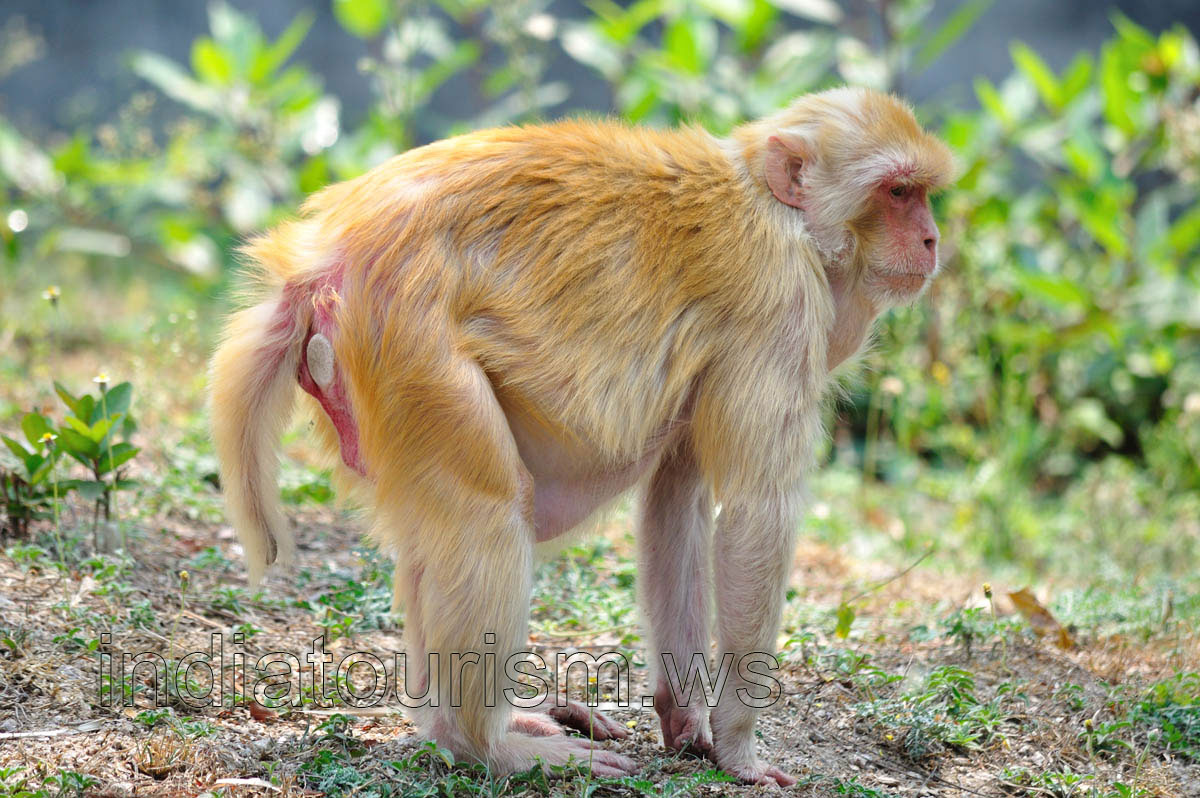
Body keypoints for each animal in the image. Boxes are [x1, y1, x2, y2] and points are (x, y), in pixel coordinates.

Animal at [209, 86, 956, 785]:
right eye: (897, 193)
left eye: (923, 195)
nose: (931, 242)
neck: (781, 213)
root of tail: (326, 255)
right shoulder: (781, 306)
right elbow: (753, 517)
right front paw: (740, 749)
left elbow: (677, 502)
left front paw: (686, 718)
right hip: (412, 342)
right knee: (488, 511)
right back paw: (484, 746)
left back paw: (460, 728)